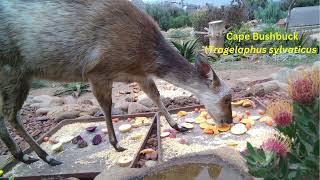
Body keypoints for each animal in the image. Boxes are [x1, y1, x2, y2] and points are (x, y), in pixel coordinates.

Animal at [0, 0, 231, 166]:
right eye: (227, 98)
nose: (228, 121)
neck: (145, 58)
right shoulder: (98, 71)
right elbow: (107, 106)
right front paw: (116, 145)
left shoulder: (140, 76)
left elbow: (156, 96)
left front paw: (178, 126)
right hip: (13, 67)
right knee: (11, 114)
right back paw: (46, 157)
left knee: (5, 115)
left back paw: (24, 156)